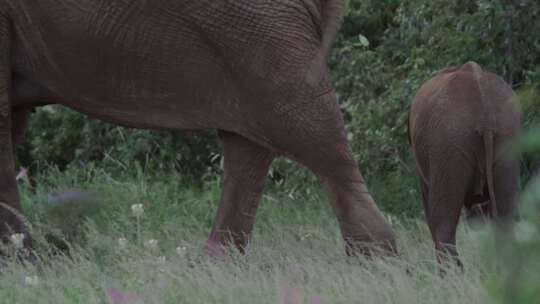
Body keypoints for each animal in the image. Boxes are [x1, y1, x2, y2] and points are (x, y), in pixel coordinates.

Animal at [0, 0, 396, 256]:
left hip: (261, 31)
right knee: (249, 143)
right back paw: (217, 266)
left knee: (307, 133)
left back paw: (375, 260)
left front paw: (21, 262)